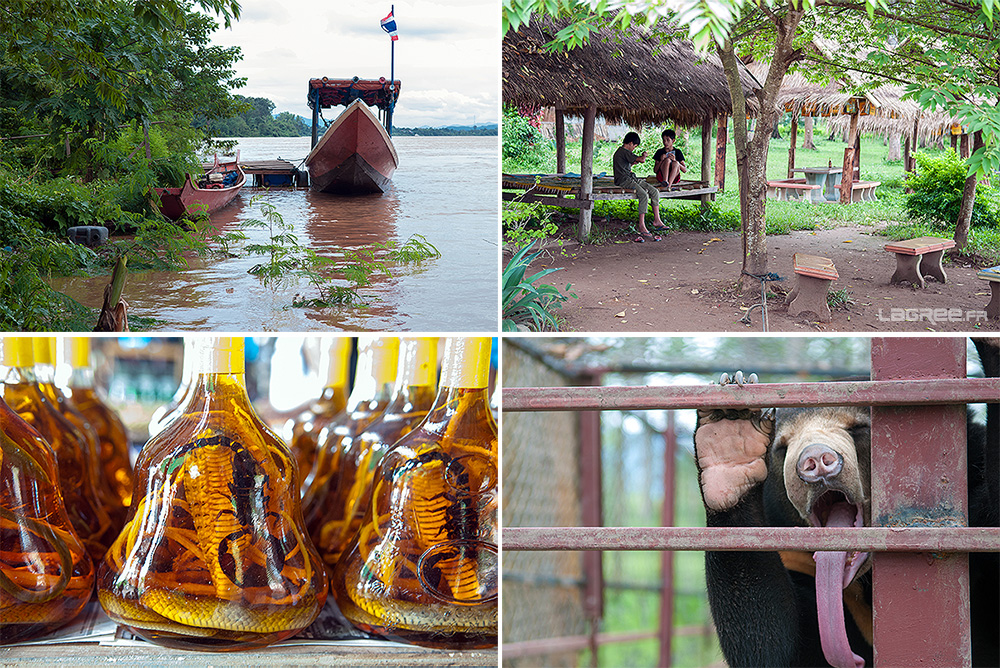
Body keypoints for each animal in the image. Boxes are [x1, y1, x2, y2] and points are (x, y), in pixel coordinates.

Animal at [696, 342, 1000, 664]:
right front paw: (729, 432)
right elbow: (776, 645)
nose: (817, 460)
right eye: (782, 448)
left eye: (858, 429)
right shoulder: (796, 560)